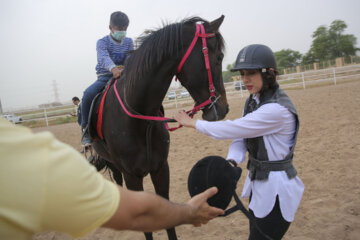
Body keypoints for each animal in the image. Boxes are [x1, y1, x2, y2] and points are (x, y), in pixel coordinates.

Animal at [89, 15, 228, 239]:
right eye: (219, 57)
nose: (224, 108)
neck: (139, 118)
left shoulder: (161, 169)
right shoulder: (132, 177)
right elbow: (146, 228)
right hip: (113, 164)